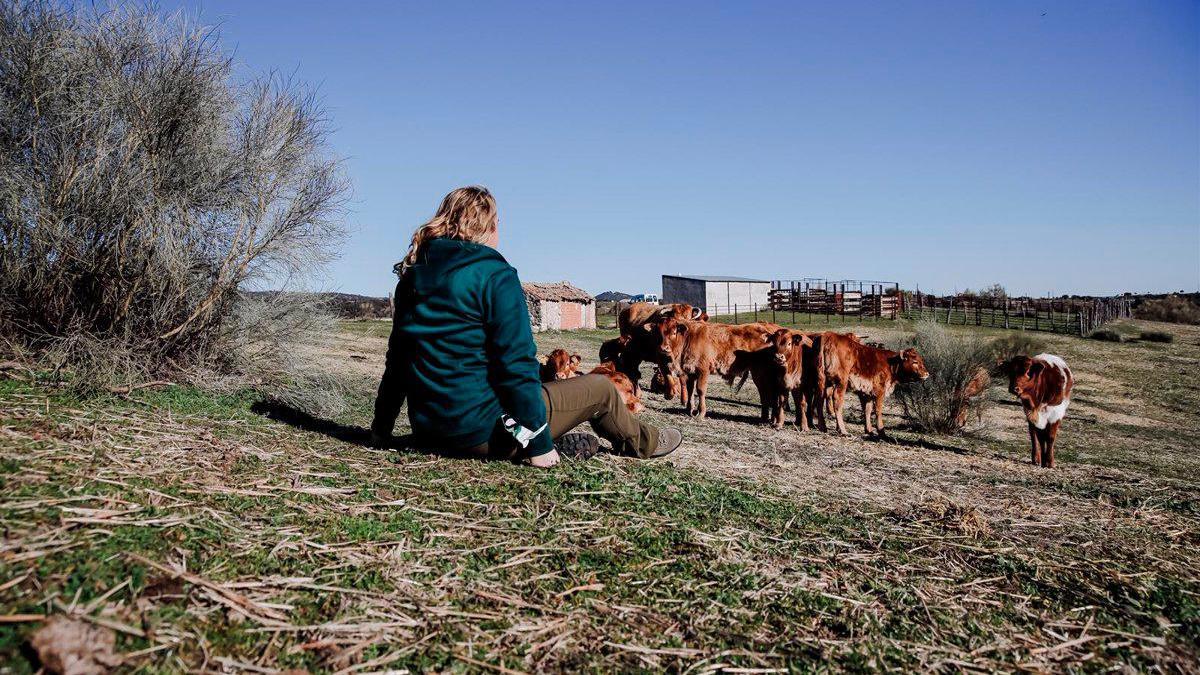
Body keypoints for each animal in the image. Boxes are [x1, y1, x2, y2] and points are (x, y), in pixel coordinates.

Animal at [652, 318, 783, 419]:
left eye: (674, 332)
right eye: (659, 333)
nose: (663, 348)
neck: (689, 337)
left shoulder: (703, 370)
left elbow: (700, 390)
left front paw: (701, 413)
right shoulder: (691, 372)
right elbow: (690, 390)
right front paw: (690, 410)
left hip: (761, 373)